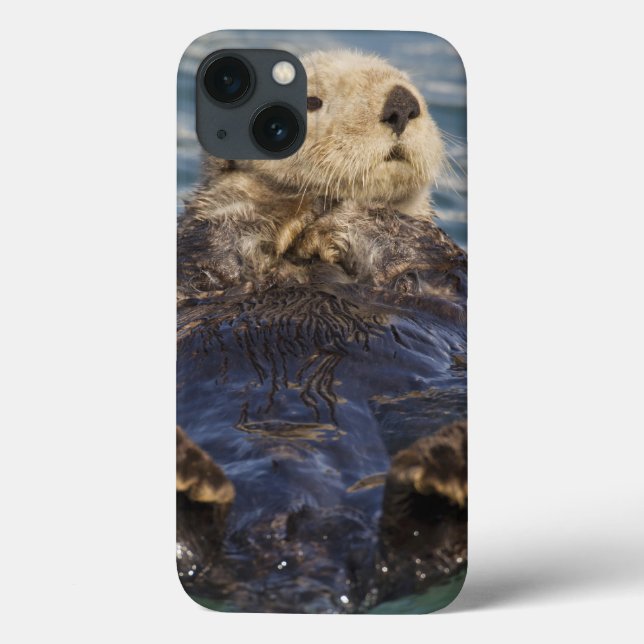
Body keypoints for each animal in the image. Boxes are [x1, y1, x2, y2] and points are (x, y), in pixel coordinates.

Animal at [176, 50, 467, 613]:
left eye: (410, 88)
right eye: (310, 100)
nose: (402, 104)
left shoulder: (436, 268)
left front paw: (345, 218)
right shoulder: (197, 254)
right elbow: (213, 243)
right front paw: (281, 209)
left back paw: (445, 472)